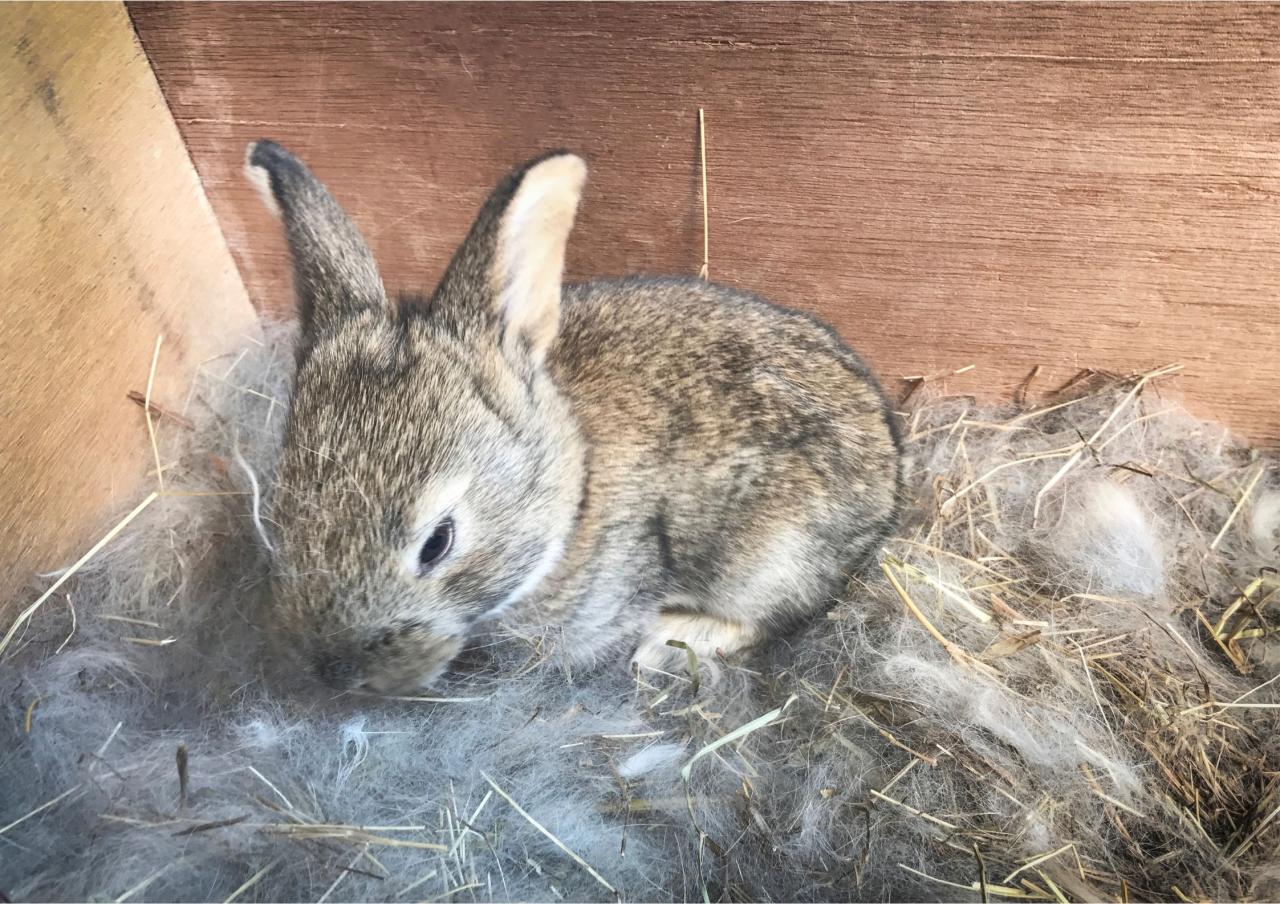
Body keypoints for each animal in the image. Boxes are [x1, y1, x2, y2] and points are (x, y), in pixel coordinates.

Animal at [246, 140, 902, 695]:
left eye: (437, 543)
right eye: (278, 516)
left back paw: (671, 640)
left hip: (771, 558)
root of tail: (891, 466)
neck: (572, 493)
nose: (335, 672)